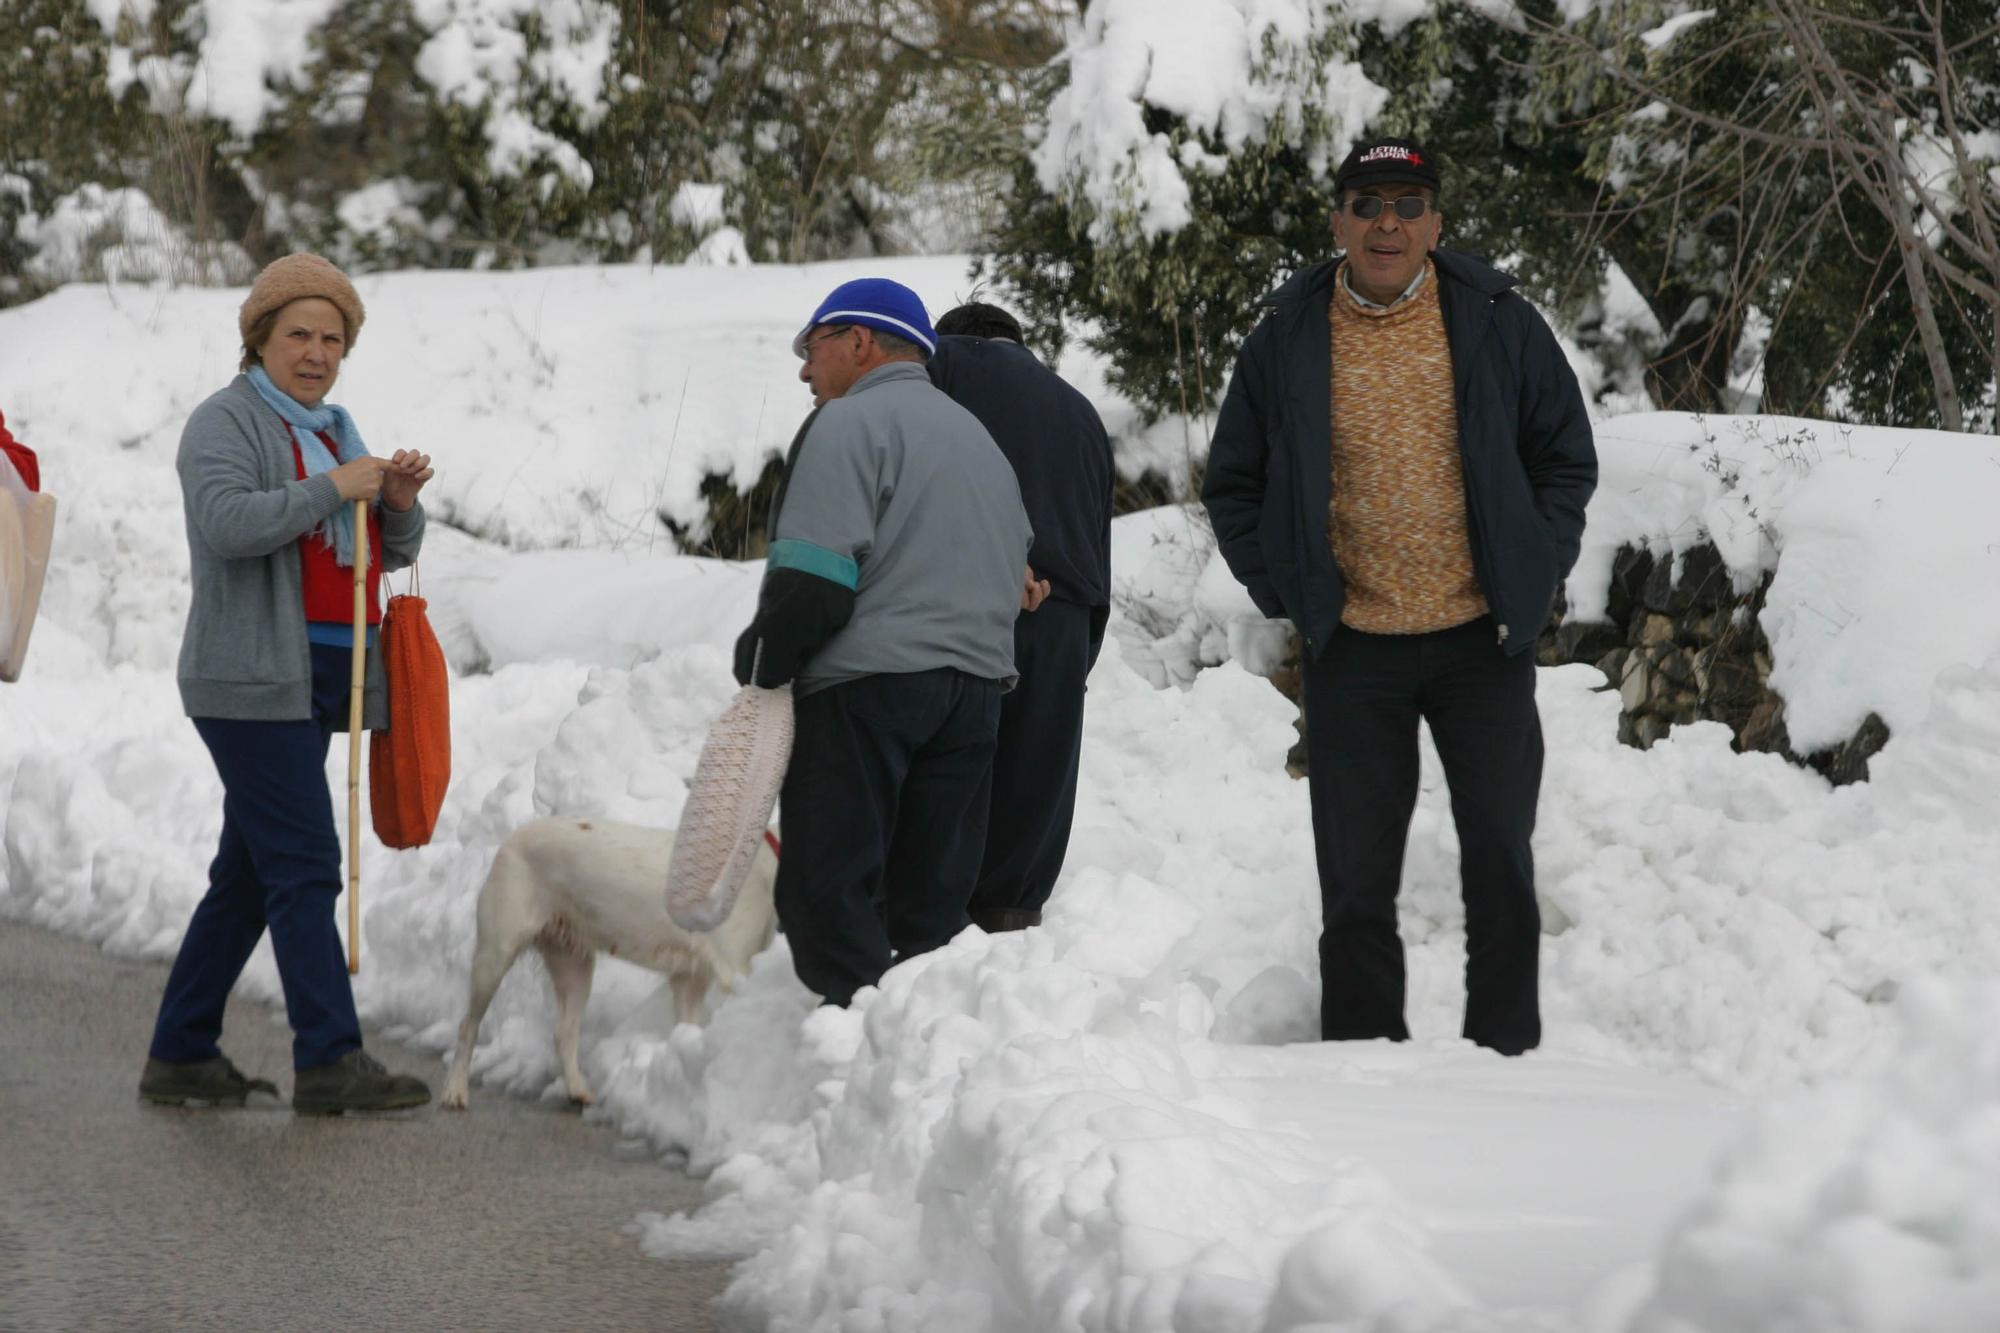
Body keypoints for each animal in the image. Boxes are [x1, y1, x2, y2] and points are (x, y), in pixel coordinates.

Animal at [442, 816, 776, 1104]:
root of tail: (512, 839)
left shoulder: (690, 979)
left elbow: (686, 1030)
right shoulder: (733, 969)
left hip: (574, 967)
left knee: (564, 1032)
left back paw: (577, 1089)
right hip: (495, 955)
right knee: (467, 1026)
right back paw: (455, 1091)